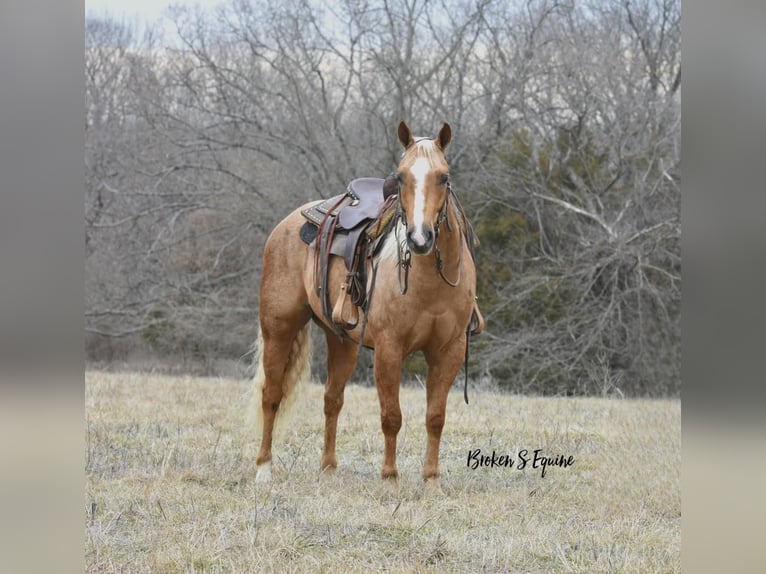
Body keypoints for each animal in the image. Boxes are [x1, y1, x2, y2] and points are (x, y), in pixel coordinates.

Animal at [250, 121, 480, 490]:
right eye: (400, 177)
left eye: (444, 177)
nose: (419, 239)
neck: (428, 282)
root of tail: (287, 223)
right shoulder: (389, 348)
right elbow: (391, 416)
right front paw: (389, 478)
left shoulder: (450, 350)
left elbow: (435, 417)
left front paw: (431, 481)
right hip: (279, 329)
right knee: (271, 396)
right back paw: (263, 469)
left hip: (341, 340)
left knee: (332, 400)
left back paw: (329, 468)